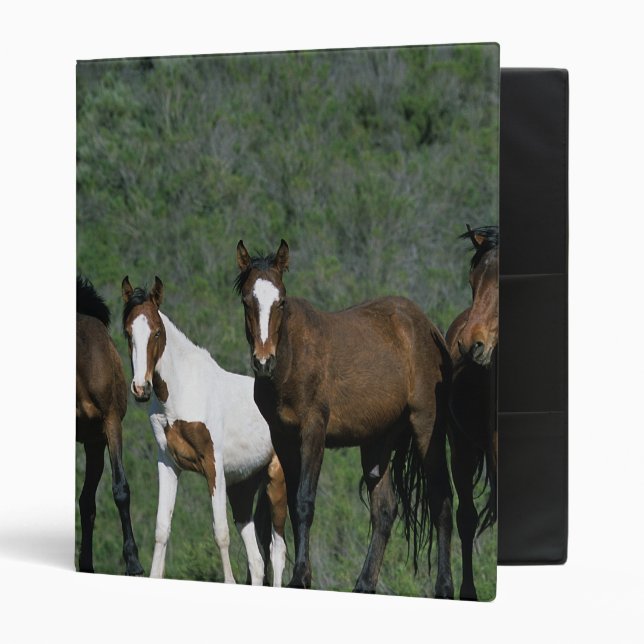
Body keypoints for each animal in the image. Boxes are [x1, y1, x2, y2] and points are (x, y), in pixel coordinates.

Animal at [121, 276, 287, 585]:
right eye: (127, 333)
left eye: (157, 333)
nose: (141, 388)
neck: (181, 392)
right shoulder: (168, 464)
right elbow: (162, 528)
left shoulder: (213, 466)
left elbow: (220, 532)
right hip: (243, 487)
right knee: (258, 561)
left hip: (276, 480)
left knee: (277, 551)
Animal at [234, 239, 454, 596]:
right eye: (246, 301)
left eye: (281, 301)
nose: (264, 361)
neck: (291, 359)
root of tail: (427, 327)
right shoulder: (283, 439)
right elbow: (293, 505)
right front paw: (302, 574)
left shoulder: (313, 431)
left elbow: (304, 501)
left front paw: (300, 577)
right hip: (377, 442)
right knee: (384, 511)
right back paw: (364, 583)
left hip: (426, 427)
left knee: (442, 500)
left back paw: (445, 586)